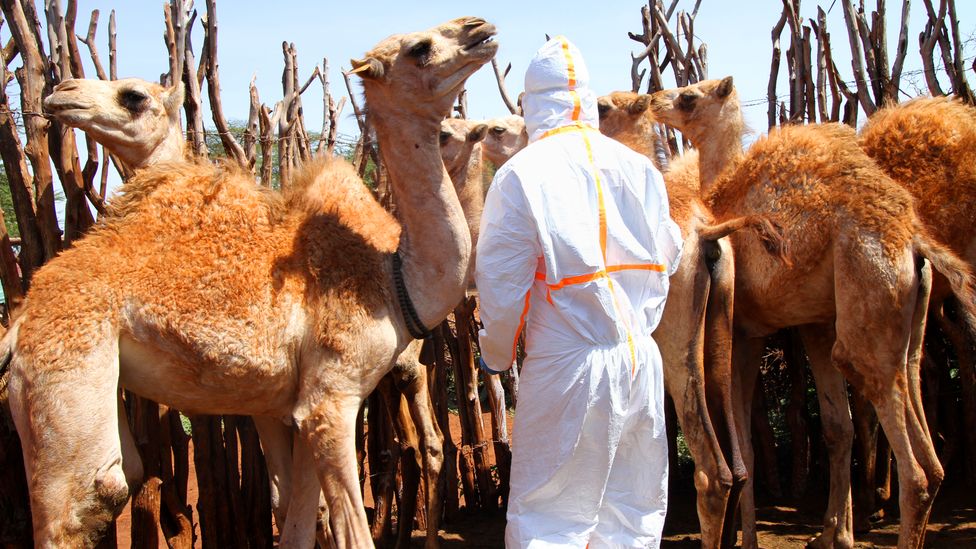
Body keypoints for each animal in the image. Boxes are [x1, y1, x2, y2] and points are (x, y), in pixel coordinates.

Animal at [5, 16, 496, 544]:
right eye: (420, 48)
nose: (480, 27)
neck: (392, 276)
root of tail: (20, 320)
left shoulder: (299, 403)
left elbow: (299, 519)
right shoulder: (331, 397)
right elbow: (346, 527)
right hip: (64, 382)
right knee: (83, 502)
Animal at [592, 92, 760, 544]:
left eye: (602, 106)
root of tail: (706, 236)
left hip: (676, 348)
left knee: (712, 472)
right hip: (718, 337)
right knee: (739, 467)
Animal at [648, 76, 976, 548]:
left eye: (690, 96)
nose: (653, 100)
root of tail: (915, 240)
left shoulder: (748, 330)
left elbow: (748, 441)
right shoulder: (813, 325)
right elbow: (837, 427)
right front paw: (835, 534)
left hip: (861, 313)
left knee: (912, 469)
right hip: (905, 326)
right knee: (925, 454)